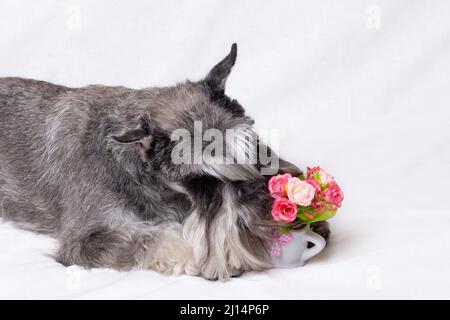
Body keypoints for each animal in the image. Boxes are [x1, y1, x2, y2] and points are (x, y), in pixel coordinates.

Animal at [0, 44, 330, 280]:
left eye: (253, 143)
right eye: (200, 179)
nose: (269, 211)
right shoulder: (83, 241)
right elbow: (151, 239)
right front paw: (202, 257)